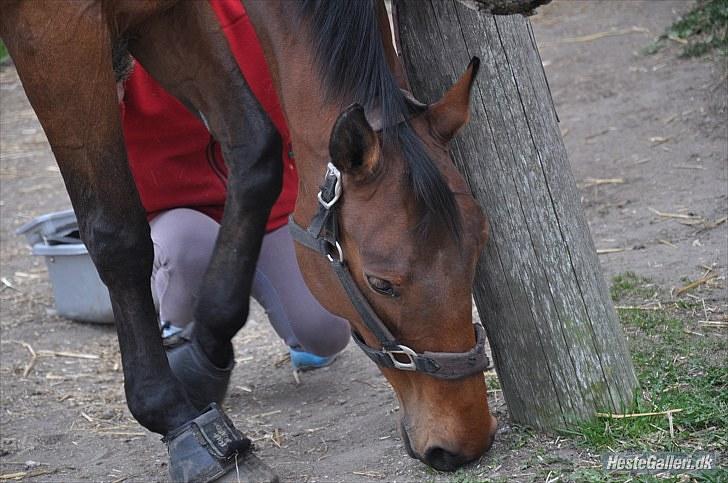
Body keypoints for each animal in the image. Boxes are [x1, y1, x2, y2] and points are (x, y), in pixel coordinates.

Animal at [0, 0, 494, 480]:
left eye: (477, 251)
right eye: (381, 284)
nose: (464, 441)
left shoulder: (165, 16)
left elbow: (256, 154)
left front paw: (204, 356)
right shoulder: (57, 34)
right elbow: (117, 234)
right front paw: (179, 422)